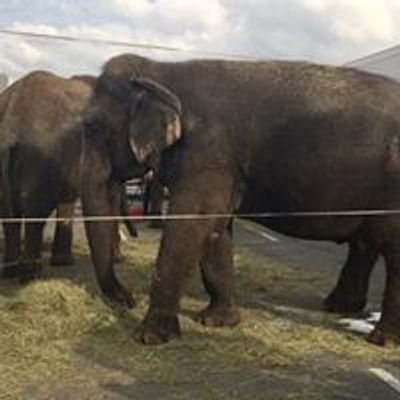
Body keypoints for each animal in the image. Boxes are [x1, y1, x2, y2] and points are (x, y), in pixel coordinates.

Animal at [83, 53, 400, 346]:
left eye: (93, 128)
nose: (127, 300)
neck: (161, 70)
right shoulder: (220, 166)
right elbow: (217, 228)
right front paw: (217, 322)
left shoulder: (209, 154)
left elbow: (193, 223)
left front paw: (149, 337)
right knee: (365, 242)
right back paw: (338, 307)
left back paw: (382, 339)